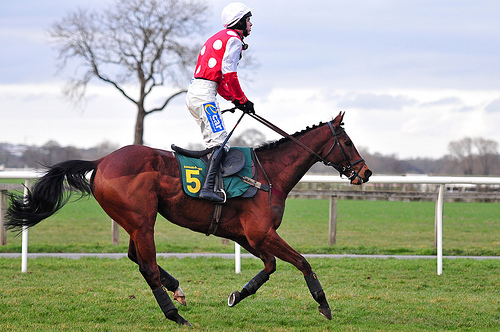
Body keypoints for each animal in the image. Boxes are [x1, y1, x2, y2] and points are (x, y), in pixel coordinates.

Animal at [4, 113, 372, 326]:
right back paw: (175, 314)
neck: (269, 174)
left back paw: (177, 291)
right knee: (147, 266)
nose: (366, 172)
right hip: (142, 220)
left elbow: (270, 267)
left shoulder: (247, 236)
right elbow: (302, 262)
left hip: (134, 221)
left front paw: (238, 294)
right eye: (347, 141)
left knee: (136, 257)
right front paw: (324, 305)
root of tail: (102, 160)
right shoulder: (261, 233)